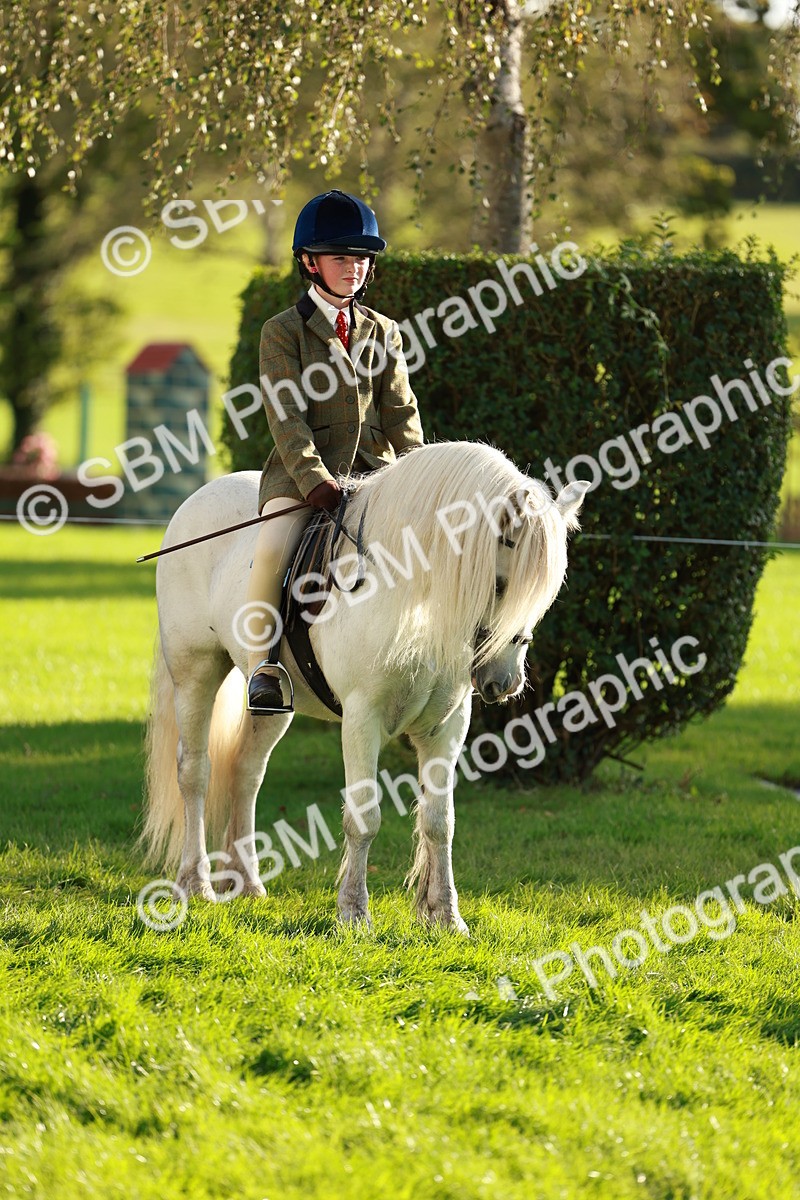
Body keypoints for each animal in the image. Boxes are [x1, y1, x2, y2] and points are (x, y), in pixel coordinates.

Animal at [142, 440, 588, 934]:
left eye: (544, 595)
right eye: (500, 584)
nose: (503, 683)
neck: (413, 597)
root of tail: (196, 499)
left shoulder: (447, 725)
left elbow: (440, 821)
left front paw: (446, 916)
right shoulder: (361, 718)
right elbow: (364, 817)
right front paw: (354, 913)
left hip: (273, 704)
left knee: (246, 771)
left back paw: (248, 882)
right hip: (195, 673)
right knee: (195, 772)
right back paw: (195, 883)